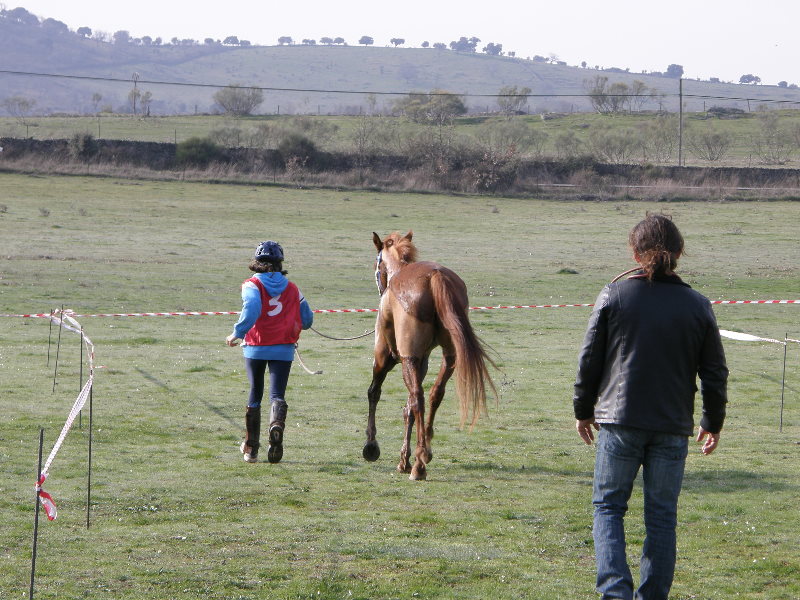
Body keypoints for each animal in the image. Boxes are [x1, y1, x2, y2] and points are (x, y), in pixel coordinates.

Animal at [362, 232, 494, 480]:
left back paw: (420, 464)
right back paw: (422, 455)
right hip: (449, 356)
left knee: (417, 398)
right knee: (434, 394)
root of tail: (435, 276)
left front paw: (371, 445)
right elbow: (407, 411)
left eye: (377, 264)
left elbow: (374, 393)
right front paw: (404, 459)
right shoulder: (421, 361)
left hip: (406, 359)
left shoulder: (386, 357)